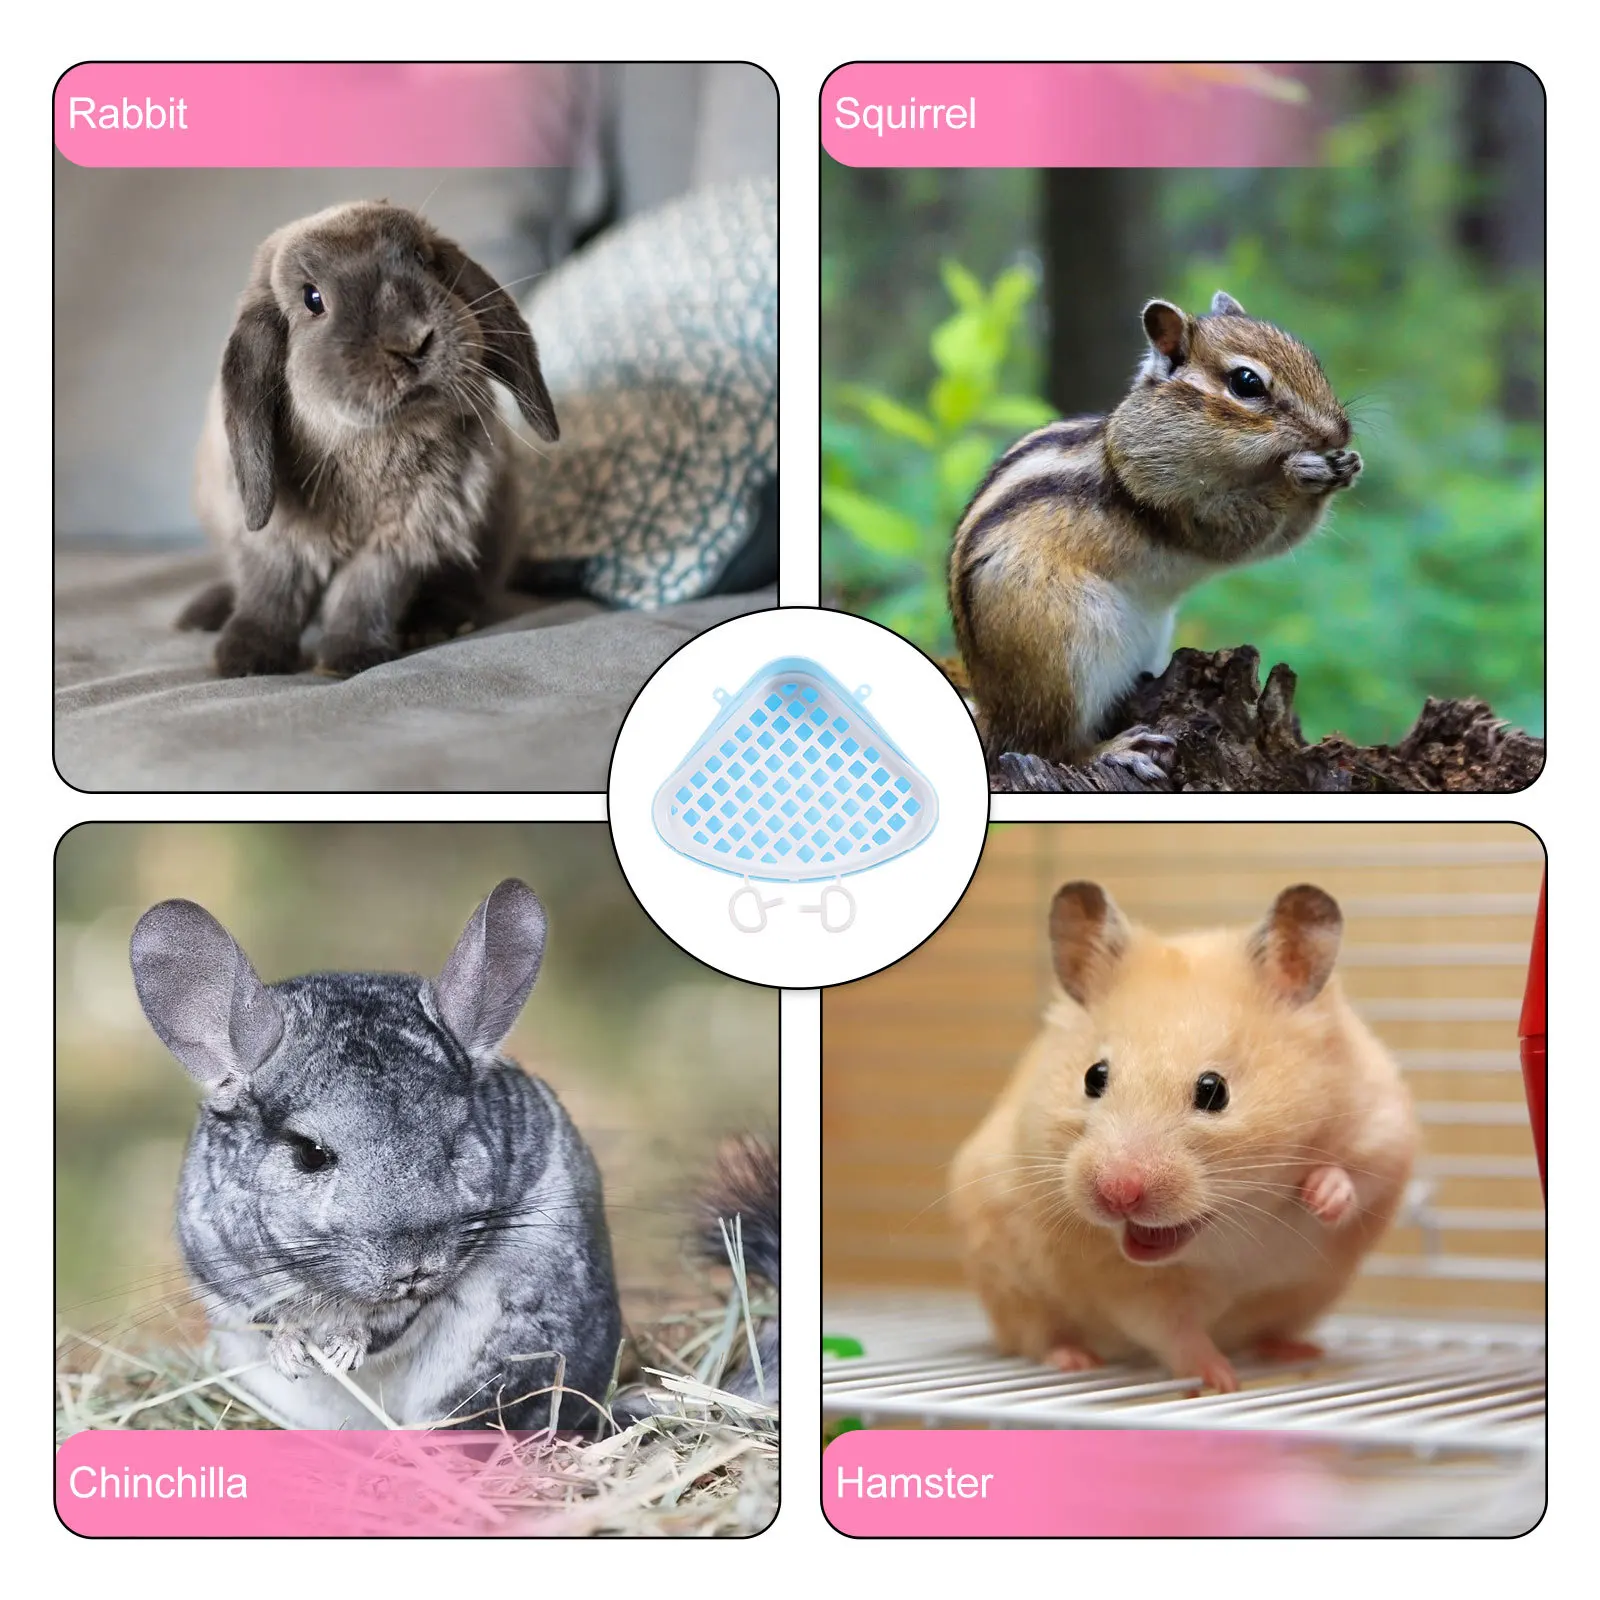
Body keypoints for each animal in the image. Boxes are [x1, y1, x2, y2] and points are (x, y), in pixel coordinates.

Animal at [129, 878, 623, 1432]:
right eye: (311, 1153)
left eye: (455, 1141)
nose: (414, 1268)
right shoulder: (221, 1268)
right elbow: (267, 1319)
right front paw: (292, 1353)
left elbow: (385, 1324)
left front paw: (343, 1349)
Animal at [182, 201, 560, 679]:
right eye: (312, 298)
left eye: (423, 260)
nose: (412, 342)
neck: (373, 442)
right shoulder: (277, 538)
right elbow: (271, 591)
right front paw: (244, 659)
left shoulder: (401, 538)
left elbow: (365, 593)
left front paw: (349, 659)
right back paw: (202, 614)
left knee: (466, 589)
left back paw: (435, 624)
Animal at [948, 292, 1361, 772]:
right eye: (1246, 383)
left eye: (1312, 360)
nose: (1339, 432)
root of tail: (994, 714)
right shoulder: (1174, 502)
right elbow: (1239, 533)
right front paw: (1300, 476)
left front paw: (1346, 466)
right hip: (1061, 653)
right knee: (1051, 746)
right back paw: (1115, 749)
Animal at [948, 880, 1416, 1392]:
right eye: (1094, 1076)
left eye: (1214, 1090)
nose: (1117, 1194)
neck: (1234, 1225)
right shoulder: (1132, 1284)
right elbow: (1174, 1332)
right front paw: (1222, 1380)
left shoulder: (1383, 1129)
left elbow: (1359, 1176)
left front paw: (1321, 1197)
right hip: (1011, 1289)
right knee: (1034, 1337)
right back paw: (1075, 1358)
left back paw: (1298, 1349)